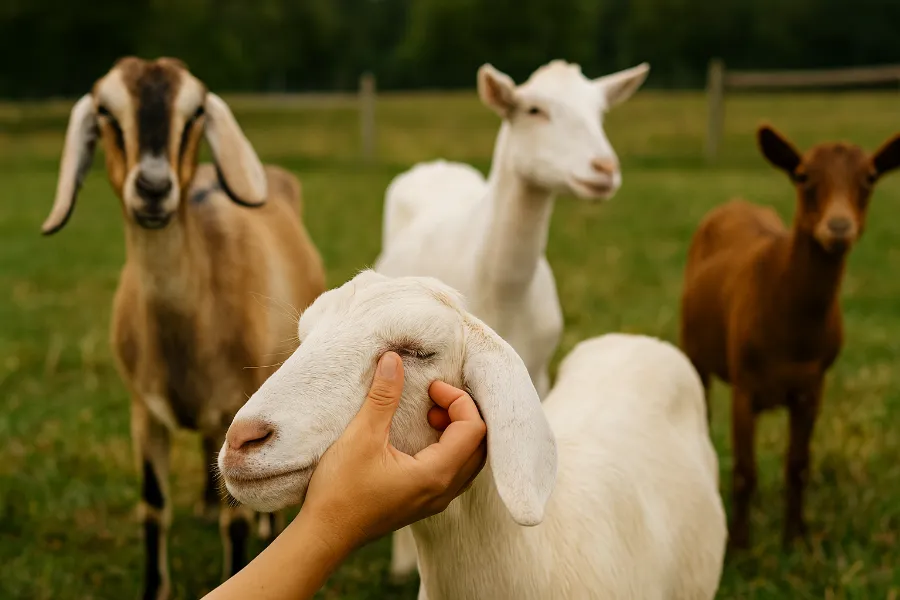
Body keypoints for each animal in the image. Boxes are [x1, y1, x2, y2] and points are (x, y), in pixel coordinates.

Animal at [42, 56, 326, 599]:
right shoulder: (142, 411)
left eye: (194, 114)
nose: (153, 188)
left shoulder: (236, 402)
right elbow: (153, 507)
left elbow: (236, 520)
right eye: (106, 112)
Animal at [680, 124, 900, 549]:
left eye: (869, 178)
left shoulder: (812, 387)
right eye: (802, 176)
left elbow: (798, 465)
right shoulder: (745, 387)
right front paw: (739, 544)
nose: (838, 228)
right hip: (693, 349)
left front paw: (794, 538)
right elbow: (745, 471)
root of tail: (734, 203)